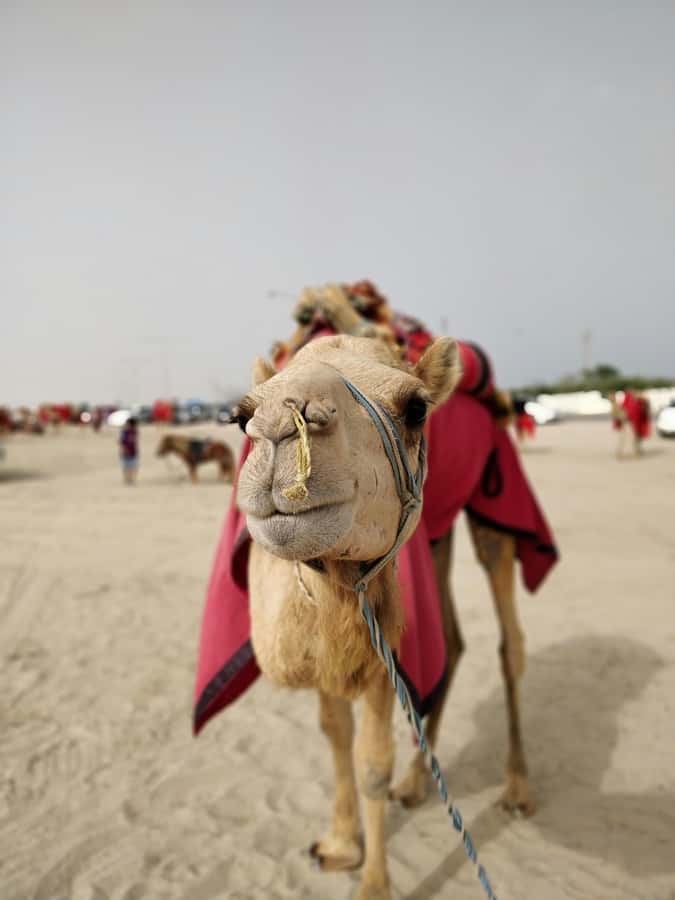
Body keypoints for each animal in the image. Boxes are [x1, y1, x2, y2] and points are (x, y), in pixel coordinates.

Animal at [237, 332, 461, 900]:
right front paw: (339, 845)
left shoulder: (386, 655)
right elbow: (334, 734)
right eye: (239, 416)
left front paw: (375, 885)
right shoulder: (321, 659)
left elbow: (372, 765)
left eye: (416, 408)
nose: (281, 423)